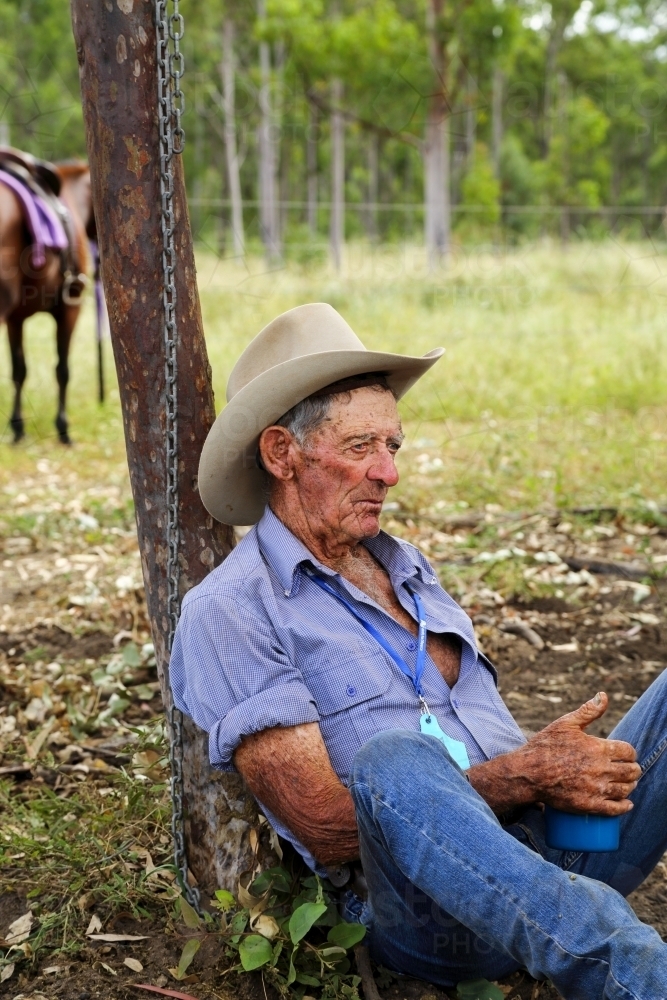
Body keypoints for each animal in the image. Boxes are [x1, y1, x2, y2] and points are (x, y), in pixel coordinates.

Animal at [0, 156, 96, 446]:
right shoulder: (70, 308)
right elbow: (62, 369)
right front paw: (63, 428)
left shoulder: (15, 318)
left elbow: (19, 371)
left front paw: (18, 427)